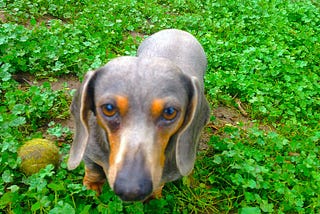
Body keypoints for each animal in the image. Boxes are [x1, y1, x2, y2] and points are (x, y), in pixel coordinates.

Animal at [67, 29, 210, 201]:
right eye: (109, 108)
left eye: (170, 112)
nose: (131, 190)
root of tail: (178, 31)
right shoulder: (90, 153)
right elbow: (93, 170)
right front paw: (91, 187)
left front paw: (153, 198)